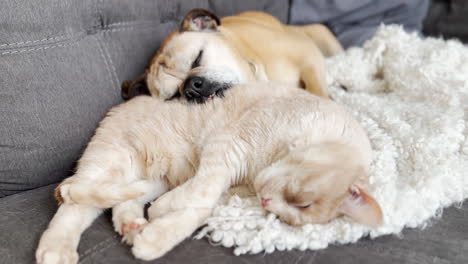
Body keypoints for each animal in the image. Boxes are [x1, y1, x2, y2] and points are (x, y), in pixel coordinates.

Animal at [35, 82, 380, 264]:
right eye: (300, 200)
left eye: (286, 214)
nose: (266, 201)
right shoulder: (226, 147)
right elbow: (202, 190)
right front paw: (161, 216)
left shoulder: (226, 193)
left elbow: (197, 208)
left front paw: (156, 236)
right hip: (114, 161)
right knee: (74, 202)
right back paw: (56, 248)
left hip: (151, 180)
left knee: (120, 202)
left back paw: (133, 226)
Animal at [121, 8, 344, 103]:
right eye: (175, 95)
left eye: (197, 58)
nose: (191, 87)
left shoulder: (307, 53)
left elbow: (317, 89)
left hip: (322, 35)